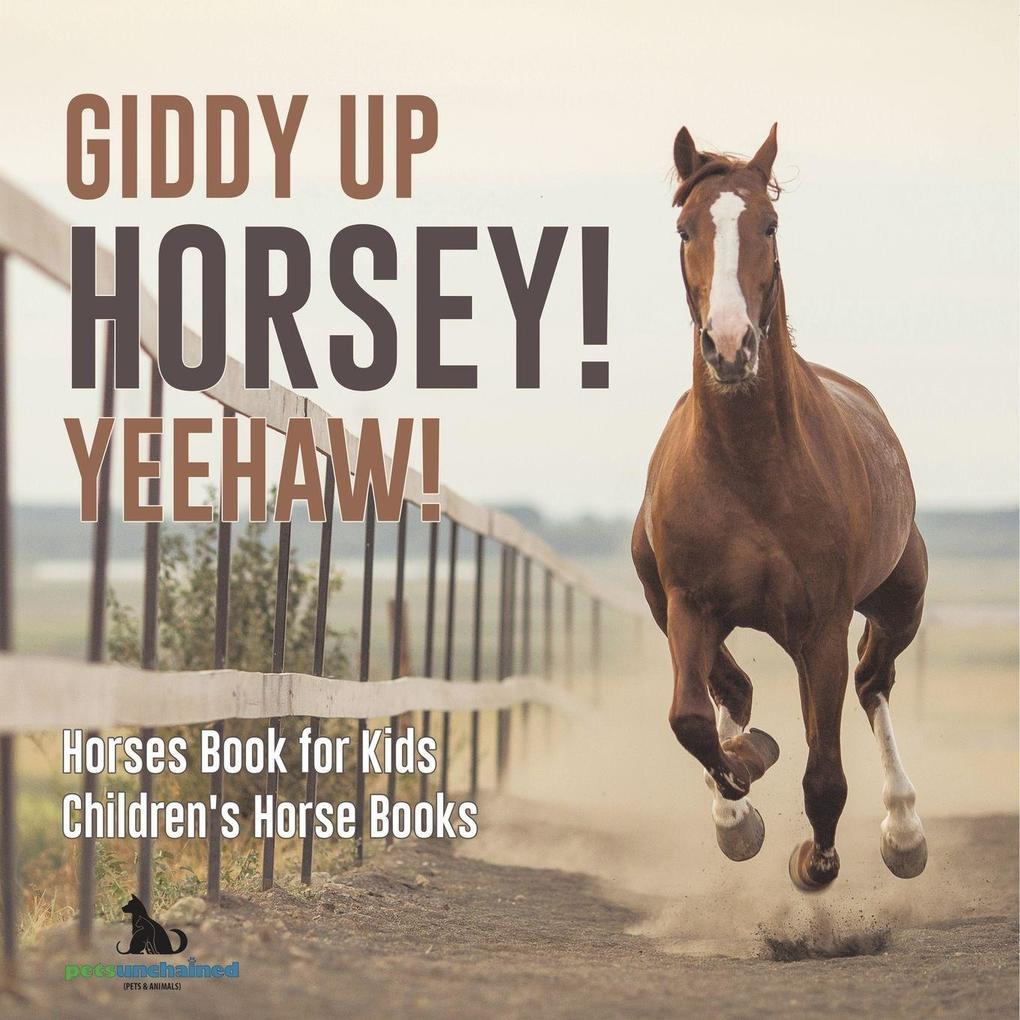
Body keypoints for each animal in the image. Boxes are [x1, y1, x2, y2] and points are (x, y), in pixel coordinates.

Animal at [632, 124, 928, 890]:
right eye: (686, 228)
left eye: (768, 224)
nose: (731, 345)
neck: (750, 469)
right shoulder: (689, 604)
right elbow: (692, 719)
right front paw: (743, 792)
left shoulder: (823, 624)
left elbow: (825, 775)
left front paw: (815, 863)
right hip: (664, 600)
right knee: (731, 690)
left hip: (897, 604)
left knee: (873, 683)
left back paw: (904, 832)